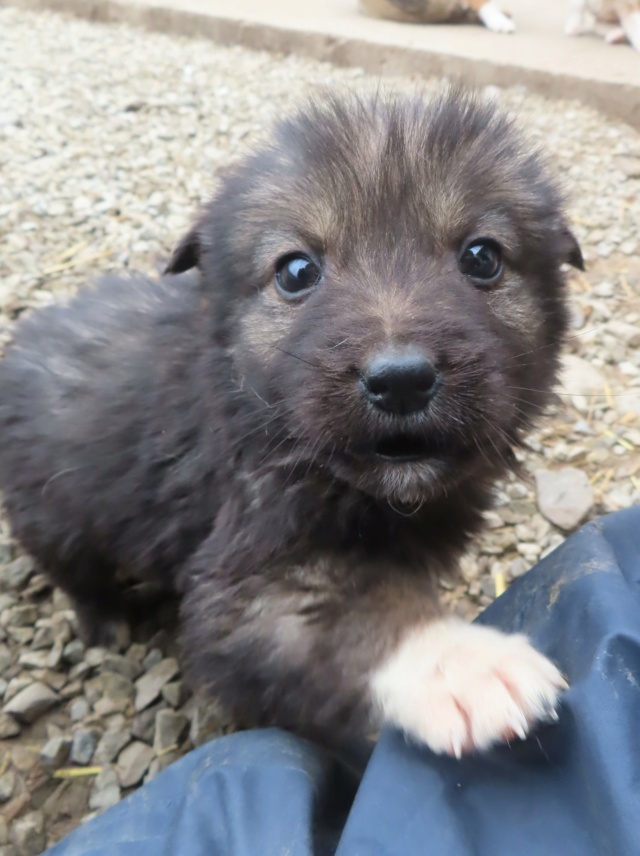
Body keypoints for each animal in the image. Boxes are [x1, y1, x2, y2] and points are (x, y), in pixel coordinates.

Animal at [0, 87, 584, 756]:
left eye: (481, 257)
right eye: (296, 270)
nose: (400, 380)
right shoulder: (248, 576)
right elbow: (354, 614)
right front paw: (463, 665)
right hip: (54, 513)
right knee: (73, 569)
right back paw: (106, 619)